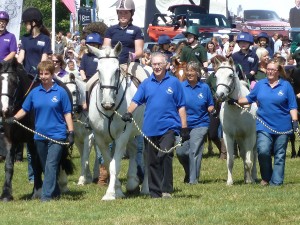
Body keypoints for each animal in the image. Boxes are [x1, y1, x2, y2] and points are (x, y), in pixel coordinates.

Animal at [88, 42, 149, 200]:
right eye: (98, 70)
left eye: (116, 71)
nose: (107, 104)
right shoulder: (100, 138)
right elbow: (109, 162)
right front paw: (118, 190)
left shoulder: (122, 136)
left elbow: (115, 165)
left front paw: (110, 194)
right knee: (133, 149)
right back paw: (132, 181)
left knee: (145, 155)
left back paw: (145, 188)